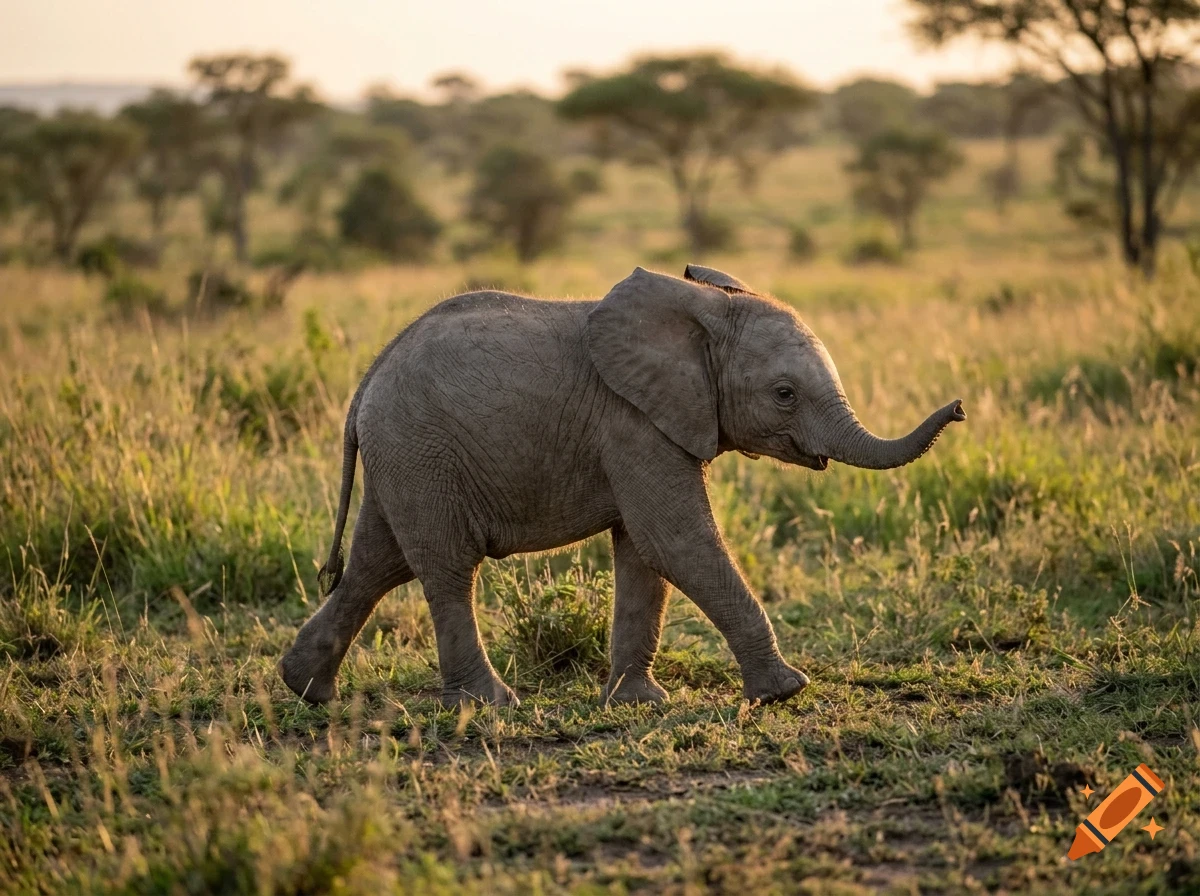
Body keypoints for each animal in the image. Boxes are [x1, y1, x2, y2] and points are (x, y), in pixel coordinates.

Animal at [279, 264, 965, 707]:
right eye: (784, 394)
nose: (959, 408)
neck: (702, 311)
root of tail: (368, 379)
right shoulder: (634, 422)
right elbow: (676, 541)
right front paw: (784, 692)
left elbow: (643, 554)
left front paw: (638, 703)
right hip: (421, 452)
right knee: (446, 570)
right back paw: (489, 705)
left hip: (404, 457)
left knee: (376, 564)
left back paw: (307, 691)